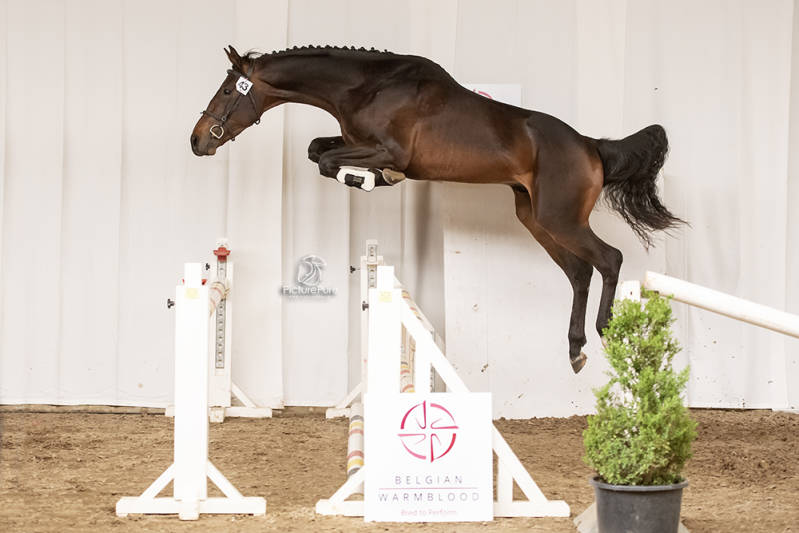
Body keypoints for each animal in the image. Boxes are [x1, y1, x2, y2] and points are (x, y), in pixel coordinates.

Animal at [190, 45, 683, 374]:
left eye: (228, 91)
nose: (198, 141)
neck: (367, 87)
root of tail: (592, 146)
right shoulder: (353, 141)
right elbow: (317, 151)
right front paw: (371, 178)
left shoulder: (387, 149)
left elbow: (331, 161)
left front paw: (376, 178)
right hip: (535, 219)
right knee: (580, 272)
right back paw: (575, 348)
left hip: (560, 219)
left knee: (609, 260)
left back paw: (606, 331)